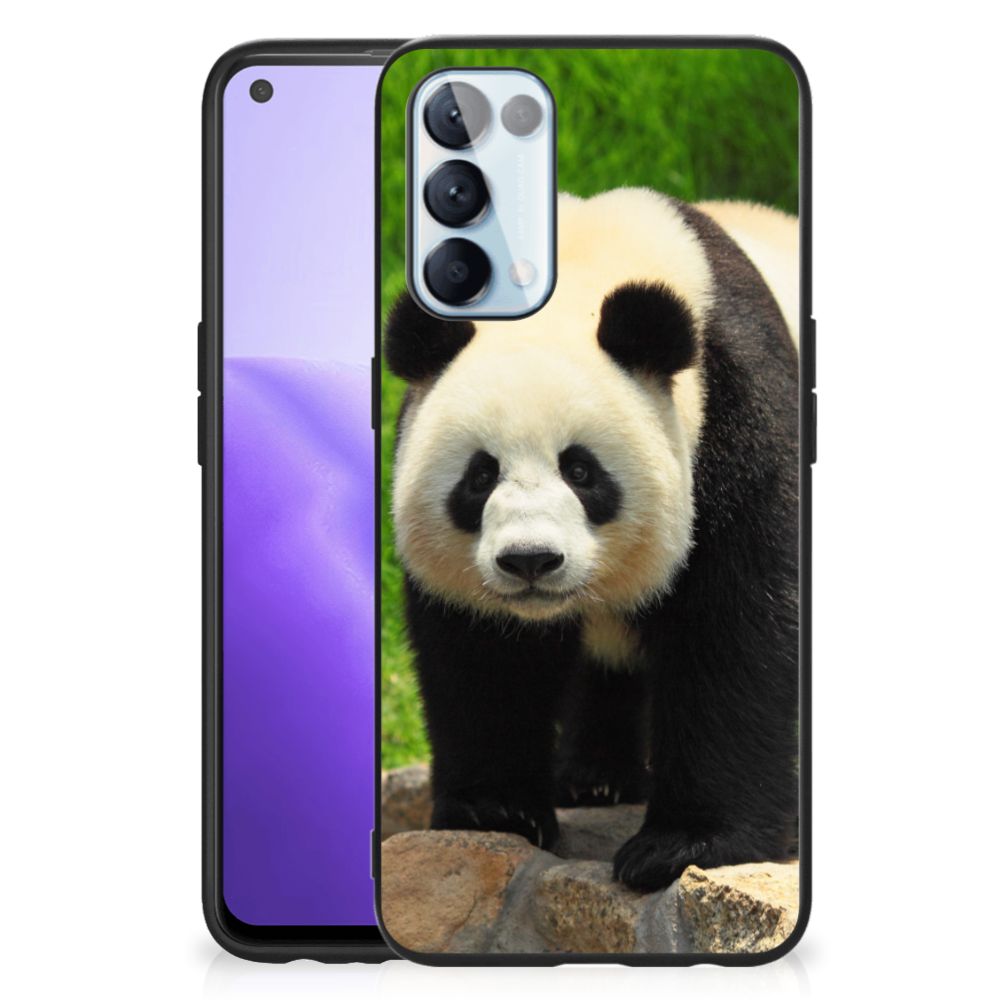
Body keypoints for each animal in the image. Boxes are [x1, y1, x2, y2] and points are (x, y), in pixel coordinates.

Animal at [384, 187, 800, 892]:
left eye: (580, 471)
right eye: (480, 475)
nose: (530, 561)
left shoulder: (739, 415)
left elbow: (739, 628)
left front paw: (683, 844)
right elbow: (482, 656)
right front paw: (497, 811)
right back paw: (595, 780)